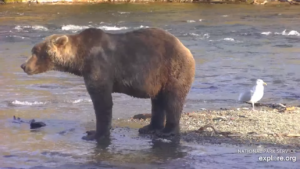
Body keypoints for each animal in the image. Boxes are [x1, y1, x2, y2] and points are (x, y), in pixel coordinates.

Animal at [19, 27, 196, 141]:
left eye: (36, 52)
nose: (23, 66)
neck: (80, 59)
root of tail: (185, 48)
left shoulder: (99, 65)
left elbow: (102, 101)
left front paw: (94, 134)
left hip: (172, 68)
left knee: (173, 100)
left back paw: (167, 131)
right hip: (156, 78)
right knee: (157, 101)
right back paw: (149, 128)